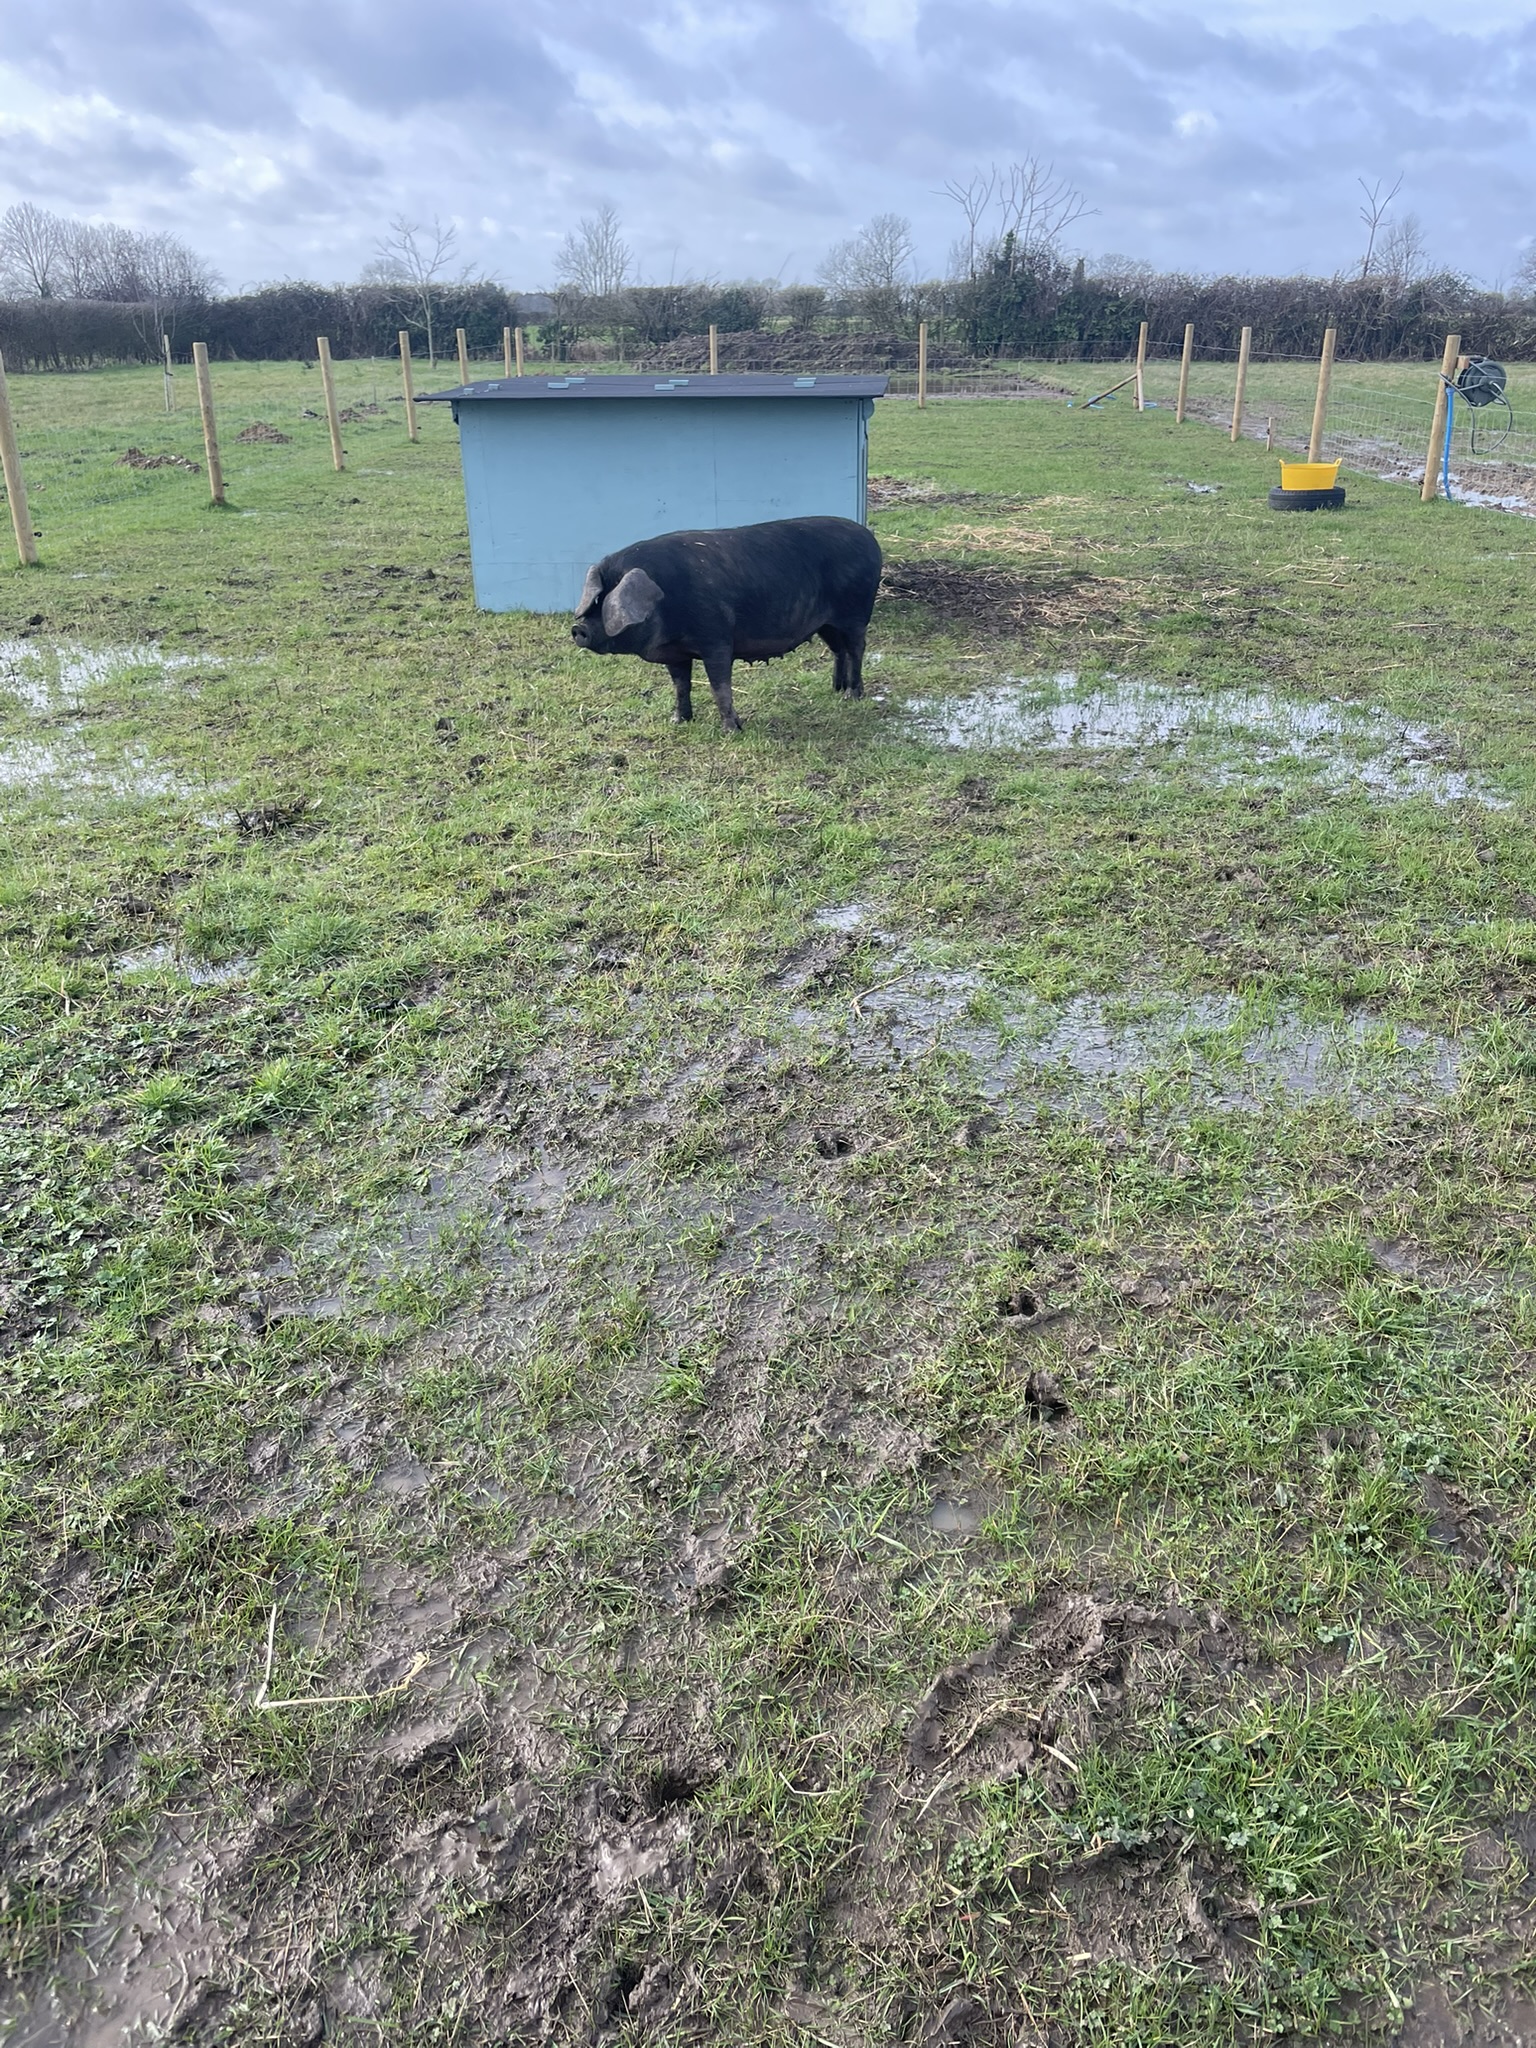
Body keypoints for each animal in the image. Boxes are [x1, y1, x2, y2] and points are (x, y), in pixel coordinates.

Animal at [570, 515, 882, 731]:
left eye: (607, 600)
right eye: (596, 599)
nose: (578, 628)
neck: (667, 602)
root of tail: (870, 538)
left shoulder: (717, 639)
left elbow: (719, 686)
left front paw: (732, 730)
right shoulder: (675, 653)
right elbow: (681, 685)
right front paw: (678, 721)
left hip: (855, 614)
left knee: (857, 649)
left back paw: (851, 696)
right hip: (826, 624)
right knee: (839, 650)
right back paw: (835, 689)